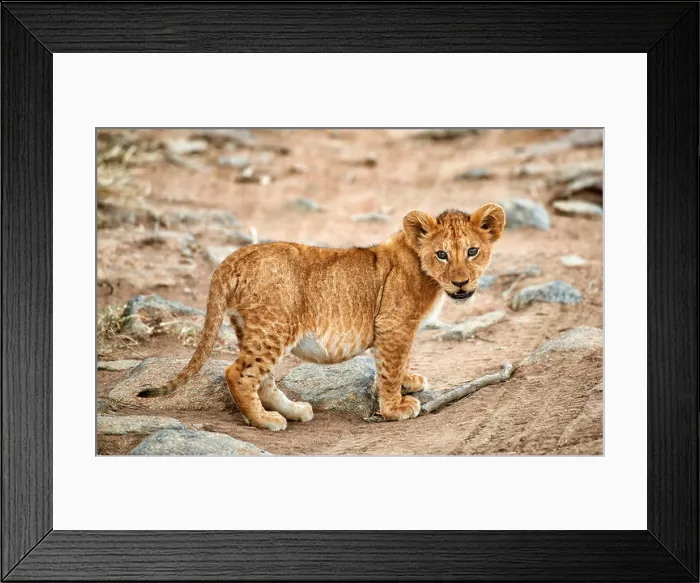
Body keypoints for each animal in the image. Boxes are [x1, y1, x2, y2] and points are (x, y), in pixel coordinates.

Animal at [138, 204, 506, 431]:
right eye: (442, 254)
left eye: (472, 251)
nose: (461, 283)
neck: (423, 268)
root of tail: (233, 258)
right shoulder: (393, 324)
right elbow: (389, 367)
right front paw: (395, 408)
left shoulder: (396, 329)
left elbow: (397, 362)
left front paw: (409, 381)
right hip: (275, 326)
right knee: (238, 374)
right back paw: (265, 421)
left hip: (254, 328)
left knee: (263, 379)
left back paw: (293, 411)